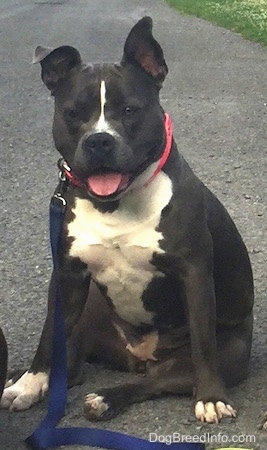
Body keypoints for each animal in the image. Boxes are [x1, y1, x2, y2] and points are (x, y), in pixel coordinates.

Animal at [0, 17, 255, 424]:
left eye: (131, 110)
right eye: (73, 112)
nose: (99, 141)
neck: (115, 205)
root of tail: (139, 357)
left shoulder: (195, 275)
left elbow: (203, 345)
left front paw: (212, 398)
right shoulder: (67, 277)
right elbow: (48, 337)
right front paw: (30, 382)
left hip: (231, 350)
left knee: (158, 380)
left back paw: (106, 398)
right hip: (87, 312)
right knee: (71, 365)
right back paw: (27, 380)